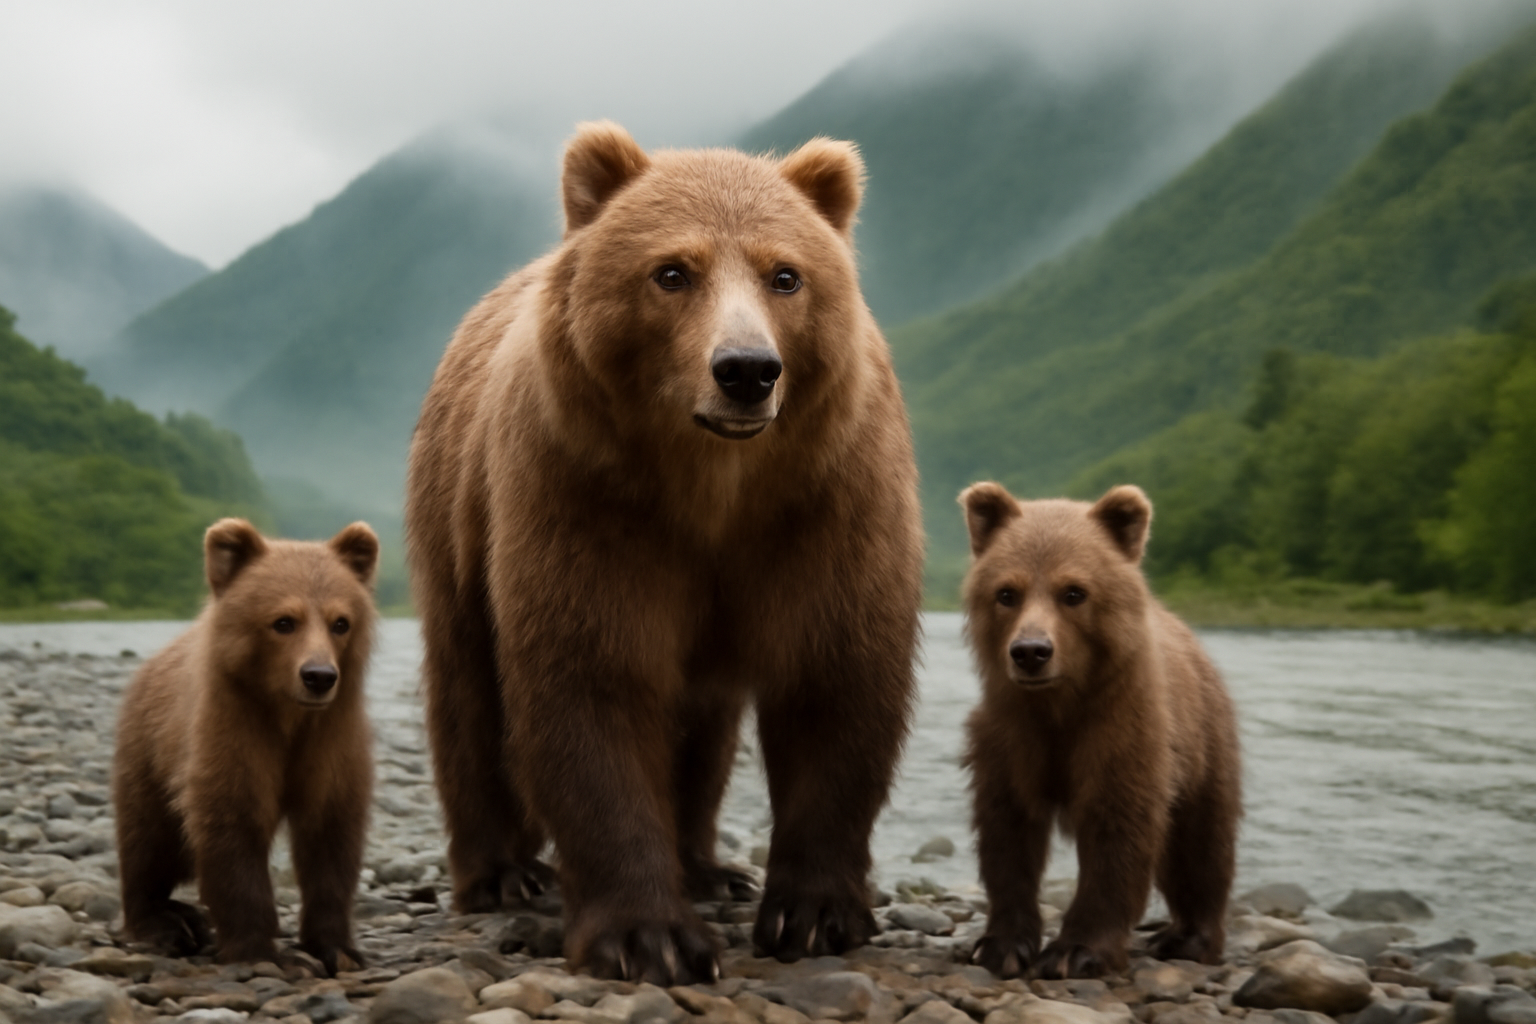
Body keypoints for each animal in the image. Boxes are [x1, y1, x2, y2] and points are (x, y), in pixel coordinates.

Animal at [113, 518, 378, 975]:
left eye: (341, 622)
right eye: (284, 621)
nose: (319, 676)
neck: (287, 714)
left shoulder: (331, 737)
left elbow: (331, 836)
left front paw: (338, 948)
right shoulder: (235, 729)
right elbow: (233, 828)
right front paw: (259, 951)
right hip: (149, 750)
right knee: (149, 838)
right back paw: (162, 924)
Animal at [405, 121, 924, 984]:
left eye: (786, 275)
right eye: (672, 272)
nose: (746, 370)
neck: (712, 486)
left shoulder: (828, 500)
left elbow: (834, 679)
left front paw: (813, 913)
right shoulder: (586, 497)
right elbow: (593, 683)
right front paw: (650, 935)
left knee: (703, 725)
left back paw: (708, 866)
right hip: (455, 507)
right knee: (467, 685)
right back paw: (501, 872)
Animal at [957, 482, 1241, 980]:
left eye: (1073, 592)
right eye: (1006, 592)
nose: (1031, 651)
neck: (1060, 704)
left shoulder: (1120, 733)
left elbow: (1118, 833)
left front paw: (1076, 951)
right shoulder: (1010, 736)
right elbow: (1007, 834)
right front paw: (1001, 944)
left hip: (1205, 739)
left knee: (1203, 840)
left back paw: (1191, 938)